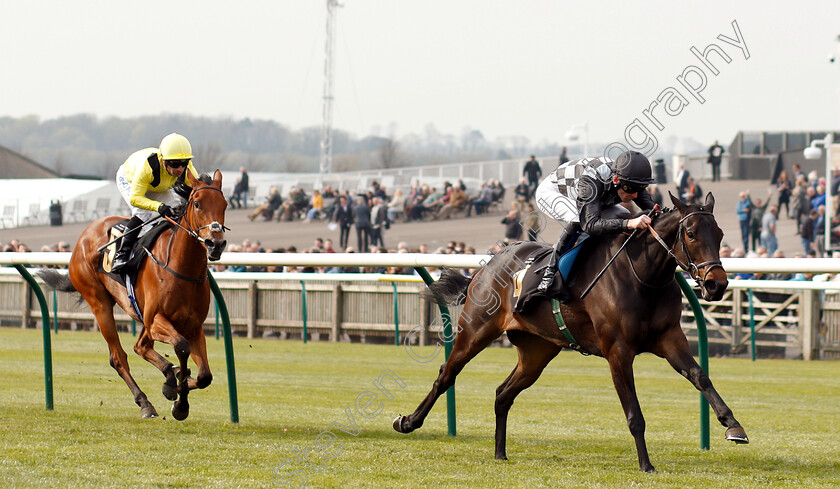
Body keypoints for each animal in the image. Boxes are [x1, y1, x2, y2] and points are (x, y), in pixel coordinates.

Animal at [40, 169, 226, 420]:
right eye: (197, 204)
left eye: (224, 204)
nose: (216, 244)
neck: (181, 267)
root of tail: (84, 236)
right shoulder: (156, 320)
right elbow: (181, 347)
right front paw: (178, 397)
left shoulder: (193, 325)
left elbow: (204, 375)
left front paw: (179, 392)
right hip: (100, 304)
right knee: (119, 357)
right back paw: (145, 402)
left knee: (141, 347)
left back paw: (169, 377)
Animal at [398, 193, 752, 470]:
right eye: (690, 233)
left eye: (720, 233)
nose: (717, 284)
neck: (643, 276)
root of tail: (487, 265)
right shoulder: (617, 351)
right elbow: (634, 414)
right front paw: (646, 464)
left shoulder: (669, 338)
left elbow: (700, 376)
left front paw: (733, 426)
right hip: (475, 330)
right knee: (446, 375)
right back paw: (408, 421)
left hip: (537, 352)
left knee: (503, 393)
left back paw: (500, 453)